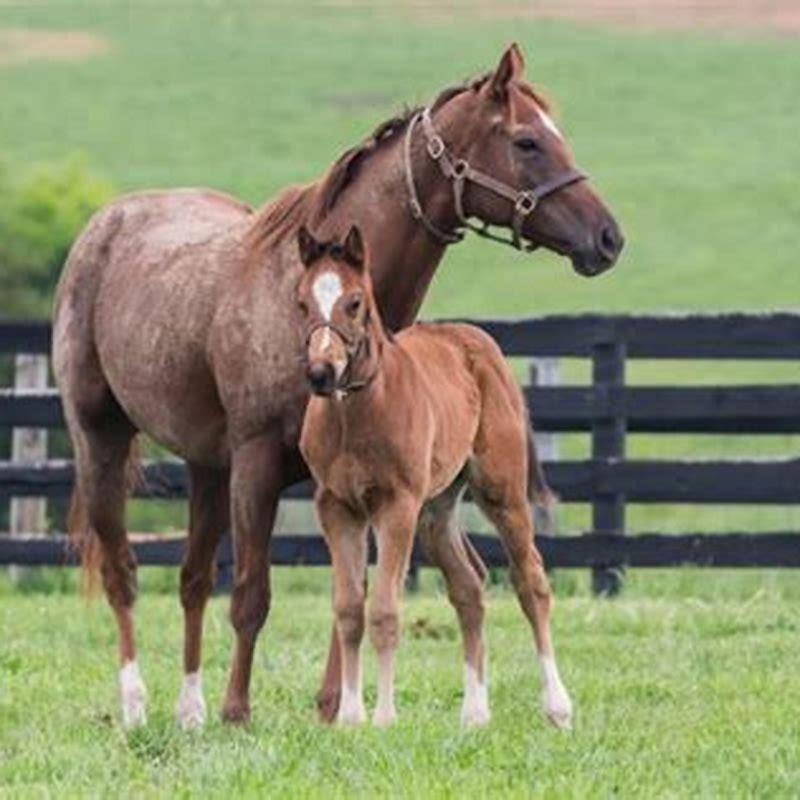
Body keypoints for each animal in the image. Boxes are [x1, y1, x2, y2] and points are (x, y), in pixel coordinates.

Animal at [296, 225, 572, 732]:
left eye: (355, 302)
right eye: (302, 302)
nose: (321, 373)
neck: (357, 412)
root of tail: (480, 343)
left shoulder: (395, 506)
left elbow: (385, 610)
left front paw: (384, 718)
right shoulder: (337, 507)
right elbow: (349, 609)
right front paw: (349, 718)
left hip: (499, 492)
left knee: (531, 582)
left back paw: (558, 707)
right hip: (436, 510)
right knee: (470, 586)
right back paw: (475, 713)